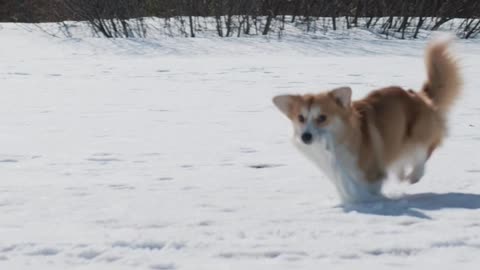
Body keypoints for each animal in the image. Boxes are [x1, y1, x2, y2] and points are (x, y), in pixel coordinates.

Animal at [272, 38, 460, 202]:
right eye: (300, 118)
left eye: (322, 117)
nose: (305, 137)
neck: (342, 141)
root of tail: (421, 96)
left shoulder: (371, 173)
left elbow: (368, 188)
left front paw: (364, 201)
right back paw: (400, 173)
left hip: (418, 134)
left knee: (423, 151)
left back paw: (414, 175)